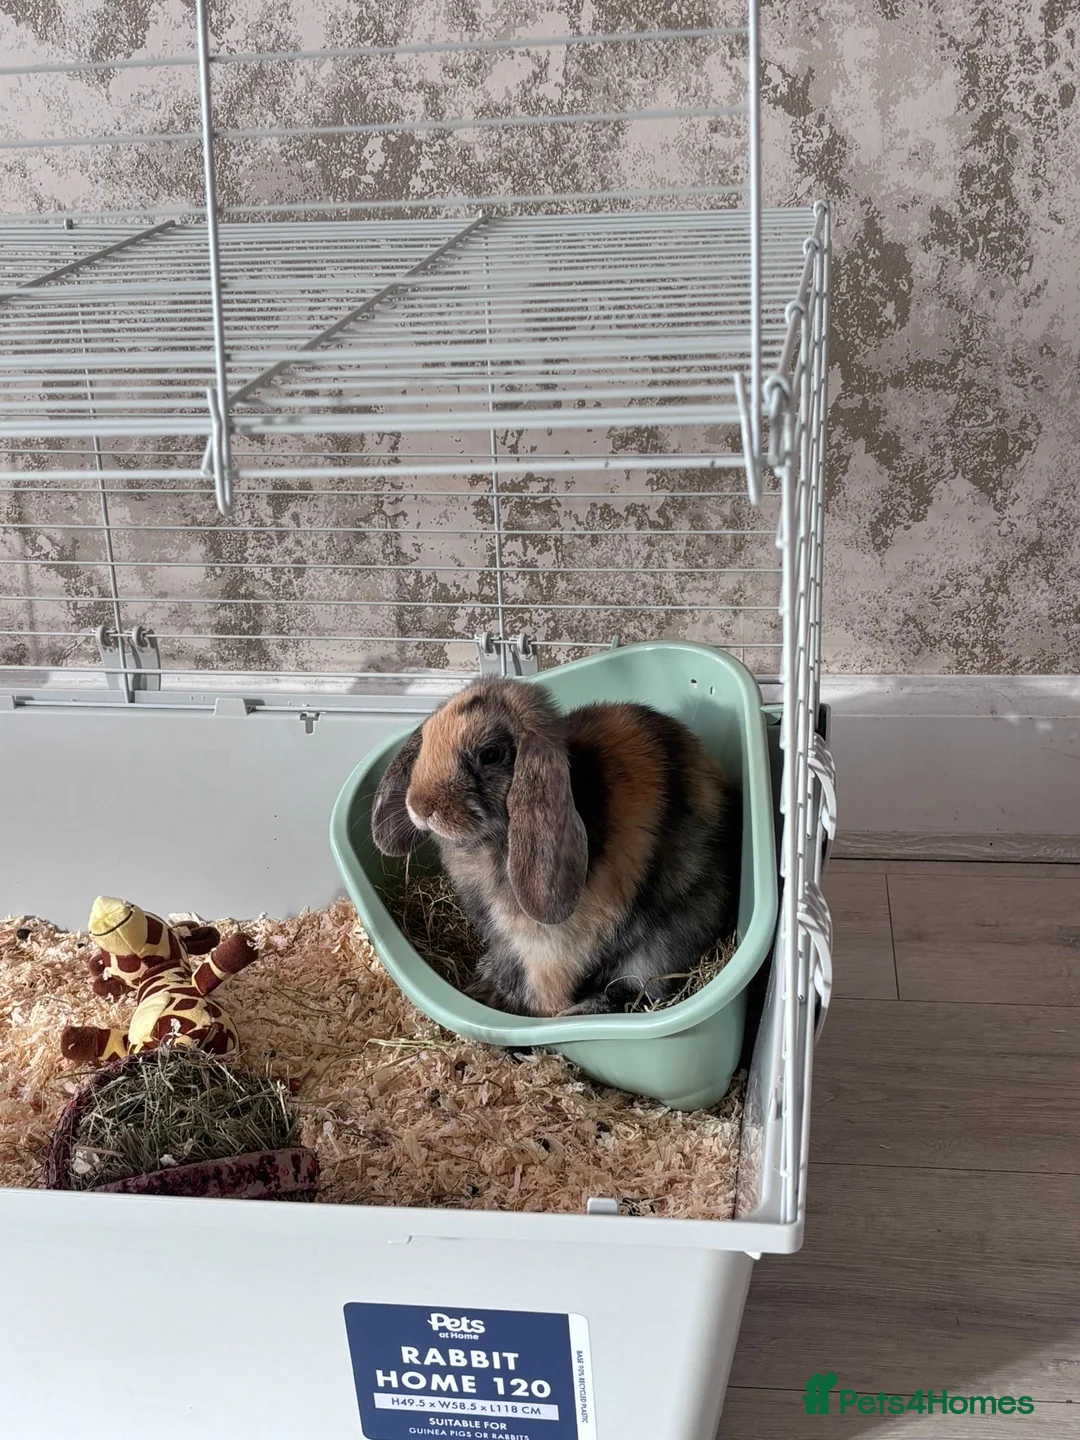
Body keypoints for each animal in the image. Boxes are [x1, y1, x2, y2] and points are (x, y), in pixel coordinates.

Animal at [371, 676, 738, 1019]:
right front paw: (486, 985)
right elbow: (507, 962)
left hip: (664, 942)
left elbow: (546, 983)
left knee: (642, 988)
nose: (420, 807)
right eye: (428, 736)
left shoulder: (554, 945)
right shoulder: (502, 936)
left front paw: (537, 1013)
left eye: (490, 755)